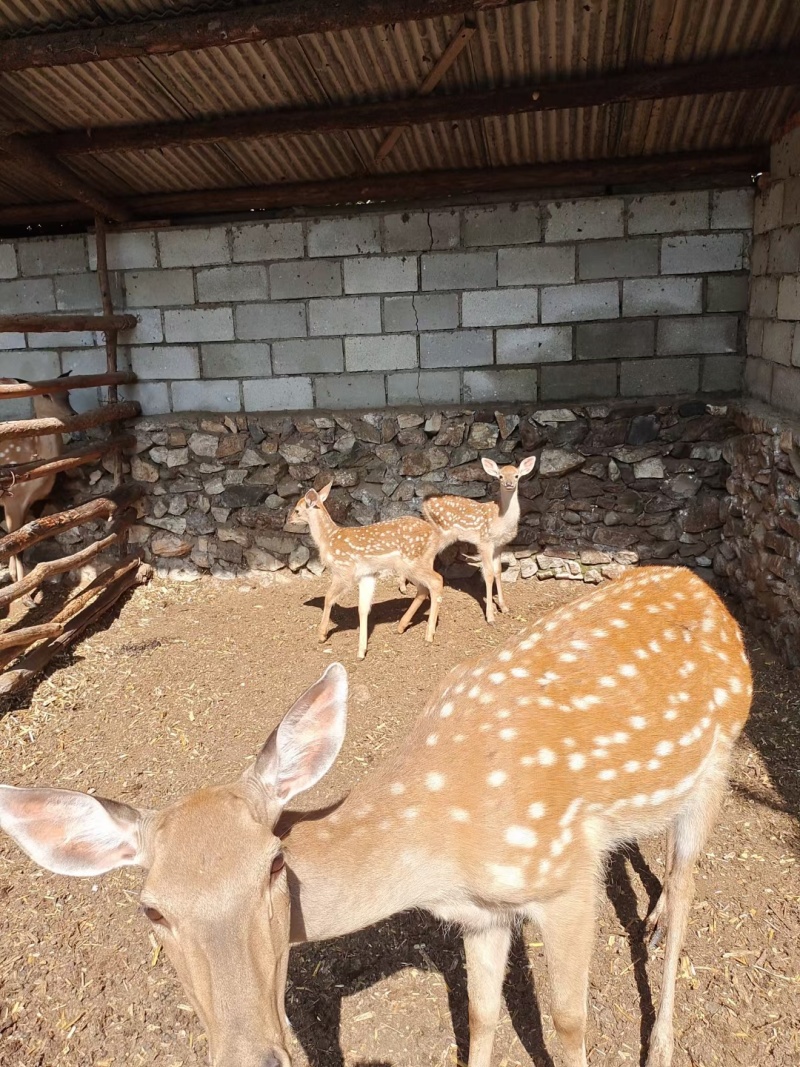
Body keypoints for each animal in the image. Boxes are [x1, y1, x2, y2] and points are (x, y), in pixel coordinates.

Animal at [0, 373, 75, 587]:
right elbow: (15, 541)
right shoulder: (12, 497)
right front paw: (20, 583)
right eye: (45, 394)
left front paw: (14, 576)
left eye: (68, 392)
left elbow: (20, 539)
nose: (72, 414)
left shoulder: (26, 502)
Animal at [0, 566, 752, 1067]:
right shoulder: (481, 914)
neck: (440, 853)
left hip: (717, 764)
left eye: (273, 867)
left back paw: (662, 1038)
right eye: (152, 909)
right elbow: (479, 1014)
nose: (252, 1055)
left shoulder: (562, 874)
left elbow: (568, 1021)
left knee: (688, 884)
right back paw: (650, 920)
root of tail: (705, 588)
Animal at [289, 480, 444, 659]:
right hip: (414, 564)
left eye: (297, 510)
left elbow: (328, 598)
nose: (289, 520)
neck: (328, 539)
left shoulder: (344, 570)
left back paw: (429, 635)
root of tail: (435, 535)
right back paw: (401, 626)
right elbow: (363, 608)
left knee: (436, 580)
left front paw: (321, 635)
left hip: (413, 561)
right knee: (423, 589)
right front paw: (361, 650)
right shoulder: (367, 574)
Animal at [423, 455, 536, 624]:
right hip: (441, 531)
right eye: (500, 476)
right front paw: (490, 616)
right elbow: (488, 574)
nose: (509, 484)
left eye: (516, 476)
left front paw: (504, 607)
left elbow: (498, 571)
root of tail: (423, 501)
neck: (501, 520)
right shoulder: (484, 542)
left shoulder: (500, 545)